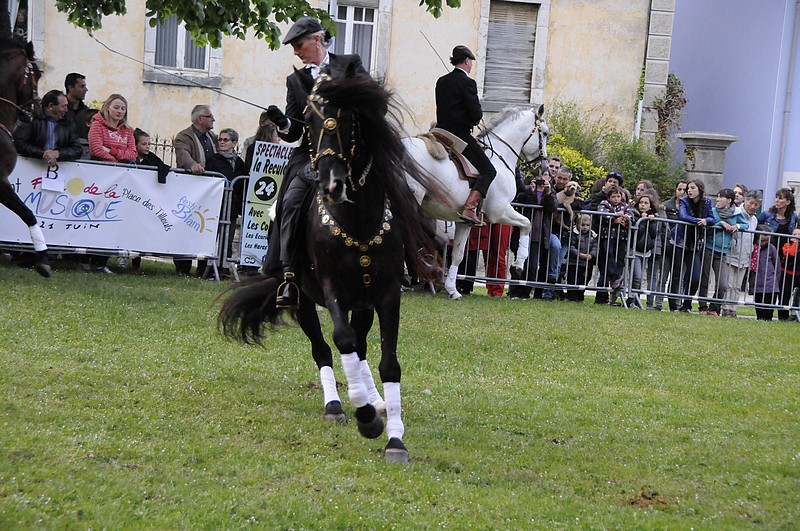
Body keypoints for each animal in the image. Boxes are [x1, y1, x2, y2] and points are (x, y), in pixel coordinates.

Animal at [219, 65, 444, 464]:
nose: (332, 184)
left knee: (361, 346)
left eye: (349, 118)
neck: (357, 220)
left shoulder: (386, 294)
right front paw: (365, 418)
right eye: (307, 121)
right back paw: (338, 406)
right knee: (324, 348)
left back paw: (375, 400)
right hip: (302, 299)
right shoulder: (331, 286)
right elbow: (341, 340)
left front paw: (394, 438)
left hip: (363, 303)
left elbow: (388, 361)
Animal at [402, 105, 548, 299]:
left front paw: (452, 290)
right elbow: (527, 223)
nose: (543, 167)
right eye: (545, 133)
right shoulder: (499, 211)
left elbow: (457, 255)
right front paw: (517, 266)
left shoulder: (465, 222)